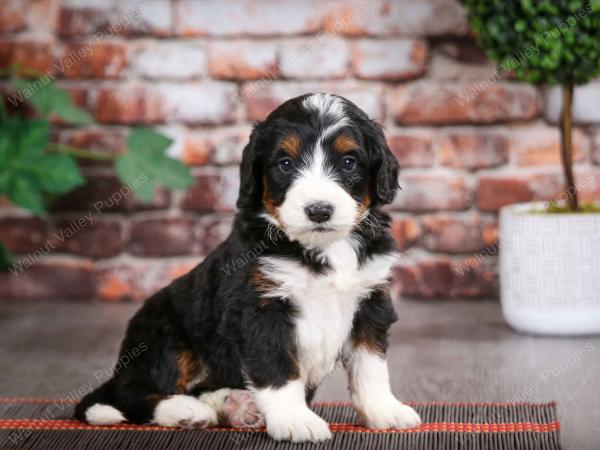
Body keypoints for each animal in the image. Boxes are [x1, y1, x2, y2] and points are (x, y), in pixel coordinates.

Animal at [75, 93, 422, 442]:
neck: (322, 248)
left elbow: (370, 365)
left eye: (349, 162)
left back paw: (235, 406)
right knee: (133, 394)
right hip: (164, 334)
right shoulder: (260, 309)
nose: (319, 211)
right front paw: (296, 420)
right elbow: (277, 369)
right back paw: (186, 410)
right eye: (285, 164)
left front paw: (384, 410)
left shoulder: (370, 301)